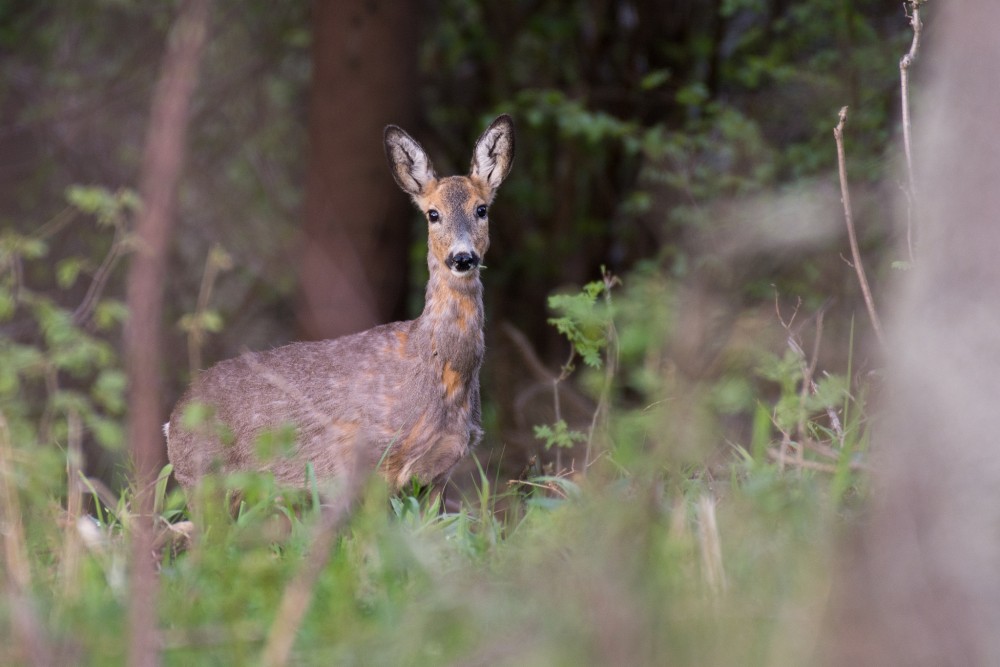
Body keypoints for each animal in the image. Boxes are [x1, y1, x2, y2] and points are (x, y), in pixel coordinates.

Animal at [166, 115, 516, 496]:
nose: (462, 257)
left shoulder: (440, 471)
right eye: (433, 214)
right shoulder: (371, 458)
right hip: (203, 477)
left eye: (481, 209)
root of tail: (173, 420)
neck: (442, 370)